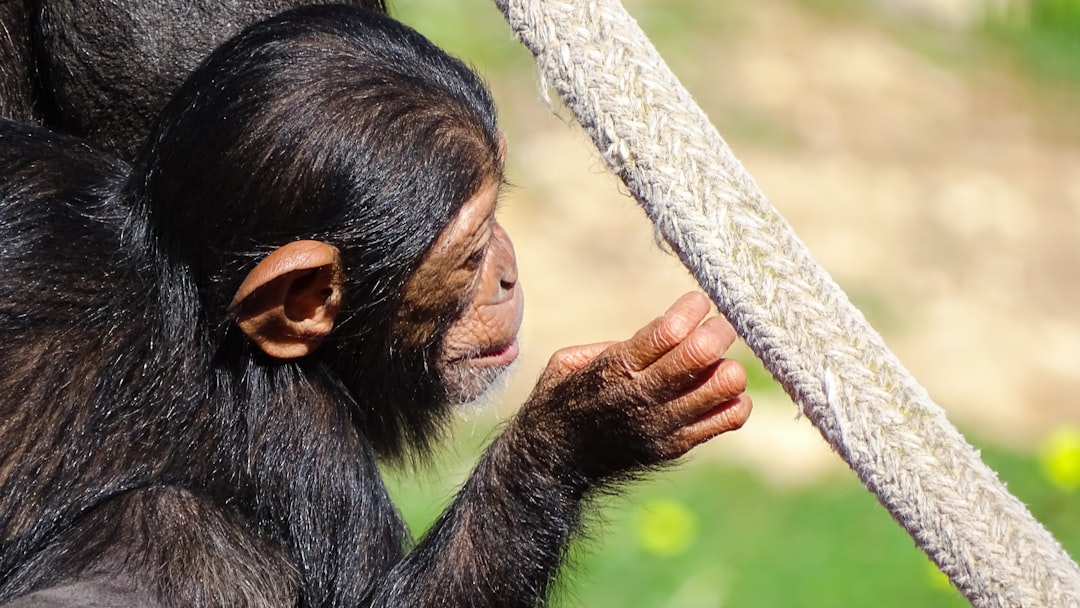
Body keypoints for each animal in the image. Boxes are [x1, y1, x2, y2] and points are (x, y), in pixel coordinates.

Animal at [0, 4, 751, 608]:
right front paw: (592, 419)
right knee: (178, 529)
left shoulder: (34, 181)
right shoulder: (310, 442)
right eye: (472, 253)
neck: (176, 274)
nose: (508, 272)